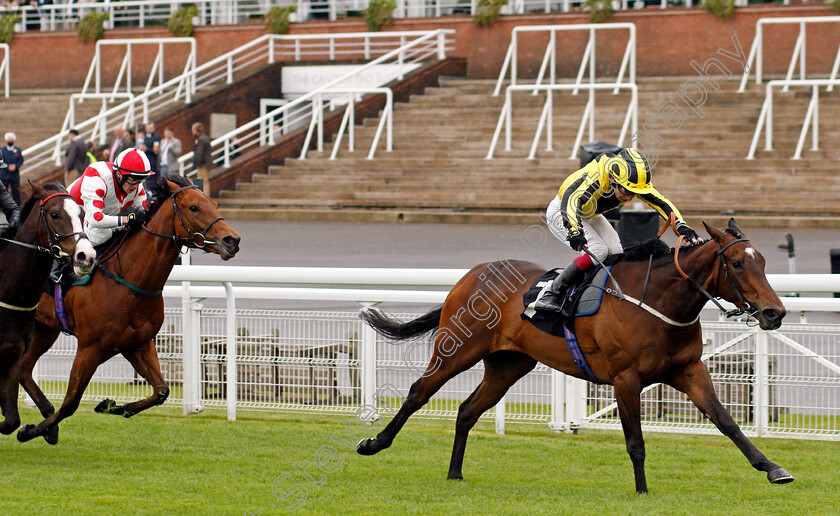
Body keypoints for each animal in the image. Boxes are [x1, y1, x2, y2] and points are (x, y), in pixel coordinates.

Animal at [15, 176, 240, 444]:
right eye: (194, 207)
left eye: (214, 204)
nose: (232, 240)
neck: (129, 281)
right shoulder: (91, 347)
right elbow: (70, 402)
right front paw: (32, 430)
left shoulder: (137, 343)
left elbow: (161, 390)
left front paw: (112, 406)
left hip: (45, 328)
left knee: (23, 368)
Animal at [360, 218, 796, 492]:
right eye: (737, 263)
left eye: (763, 262)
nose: (775, 312)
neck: (658, 300)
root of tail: (472, 274)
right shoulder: (625, 379)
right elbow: (635, 441)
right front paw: (642, 491)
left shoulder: (688, 370)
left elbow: (727, 422)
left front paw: (773, 468)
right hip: (457, 350)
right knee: (418, 392)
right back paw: (373, 443)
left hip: (508, 364)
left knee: (467, 411)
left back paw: (454, 474)